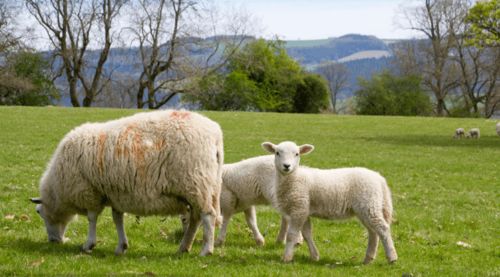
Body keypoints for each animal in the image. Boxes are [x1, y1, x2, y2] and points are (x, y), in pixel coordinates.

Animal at [28, 109, 221, 256]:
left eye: (39, 212)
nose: (53, 241)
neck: (58, 188)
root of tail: (215, 134)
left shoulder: (89, 191)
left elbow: (92, 218)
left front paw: (89, 244)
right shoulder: (116, 193)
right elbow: (117, 219)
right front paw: (121, 246)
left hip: (196, 183)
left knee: (208, 216)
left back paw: (206, 250)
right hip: (201, 188)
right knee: (196, 218)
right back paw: (184, 247)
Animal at [262, 140, 398, 264]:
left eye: (297, 154)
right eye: (277, 153)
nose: (286, 166)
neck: (294, 178)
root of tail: (379, 178)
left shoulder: (298, 208)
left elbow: (292, 235)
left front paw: (286, 257)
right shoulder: (304, 209)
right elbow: (307, 234)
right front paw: (314, 256)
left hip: (369, 205)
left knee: (383, 229)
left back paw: (392, 258)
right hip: (366, 208)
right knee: (373, 232)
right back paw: (368, 259)